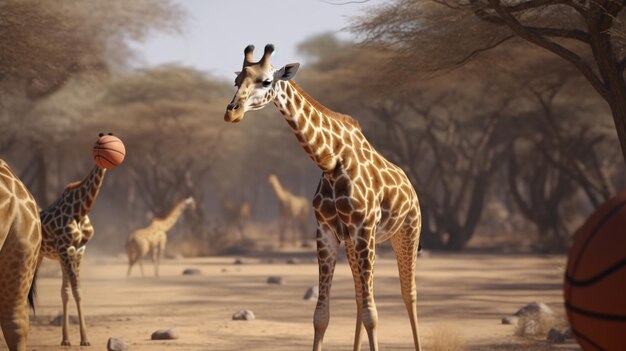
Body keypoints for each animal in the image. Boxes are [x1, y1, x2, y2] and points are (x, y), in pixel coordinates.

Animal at [38, 156, 108, 346]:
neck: (81, 209)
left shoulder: (78, 249)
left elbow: (69, 292)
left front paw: (67, 339)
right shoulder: (65, 248)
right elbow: (75, 291)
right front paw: (84, 339)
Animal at [222, 44, 422, 351]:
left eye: (266, 81)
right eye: (236, 81)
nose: (232, 112)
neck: (330, 162)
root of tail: (411, 187)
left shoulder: (364, 230)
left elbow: (373, 314)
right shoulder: (327, 231)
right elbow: (321, 316)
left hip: (407, 230)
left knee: (408, 293)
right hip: (353, 244)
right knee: (359, 296)